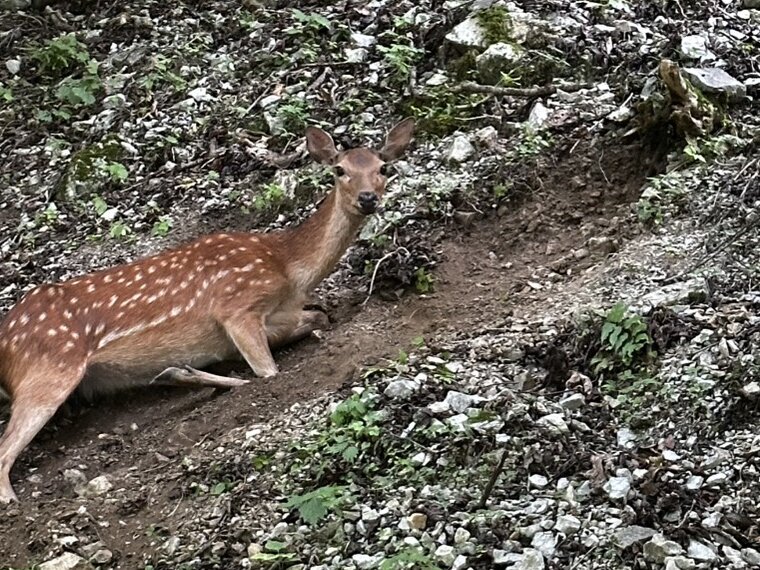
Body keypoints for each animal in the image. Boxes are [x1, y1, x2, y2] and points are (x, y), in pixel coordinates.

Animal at [0, 118, 415, 502]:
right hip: (50, 367)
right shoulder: (236, 307)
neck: (288, 268)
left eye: (383, 167)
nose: (368, 198)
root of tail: (6, 338)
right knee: (5, 451)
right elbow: (269, 373)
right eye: (339, 169)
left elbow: (317, 318)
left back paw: (176, 373)